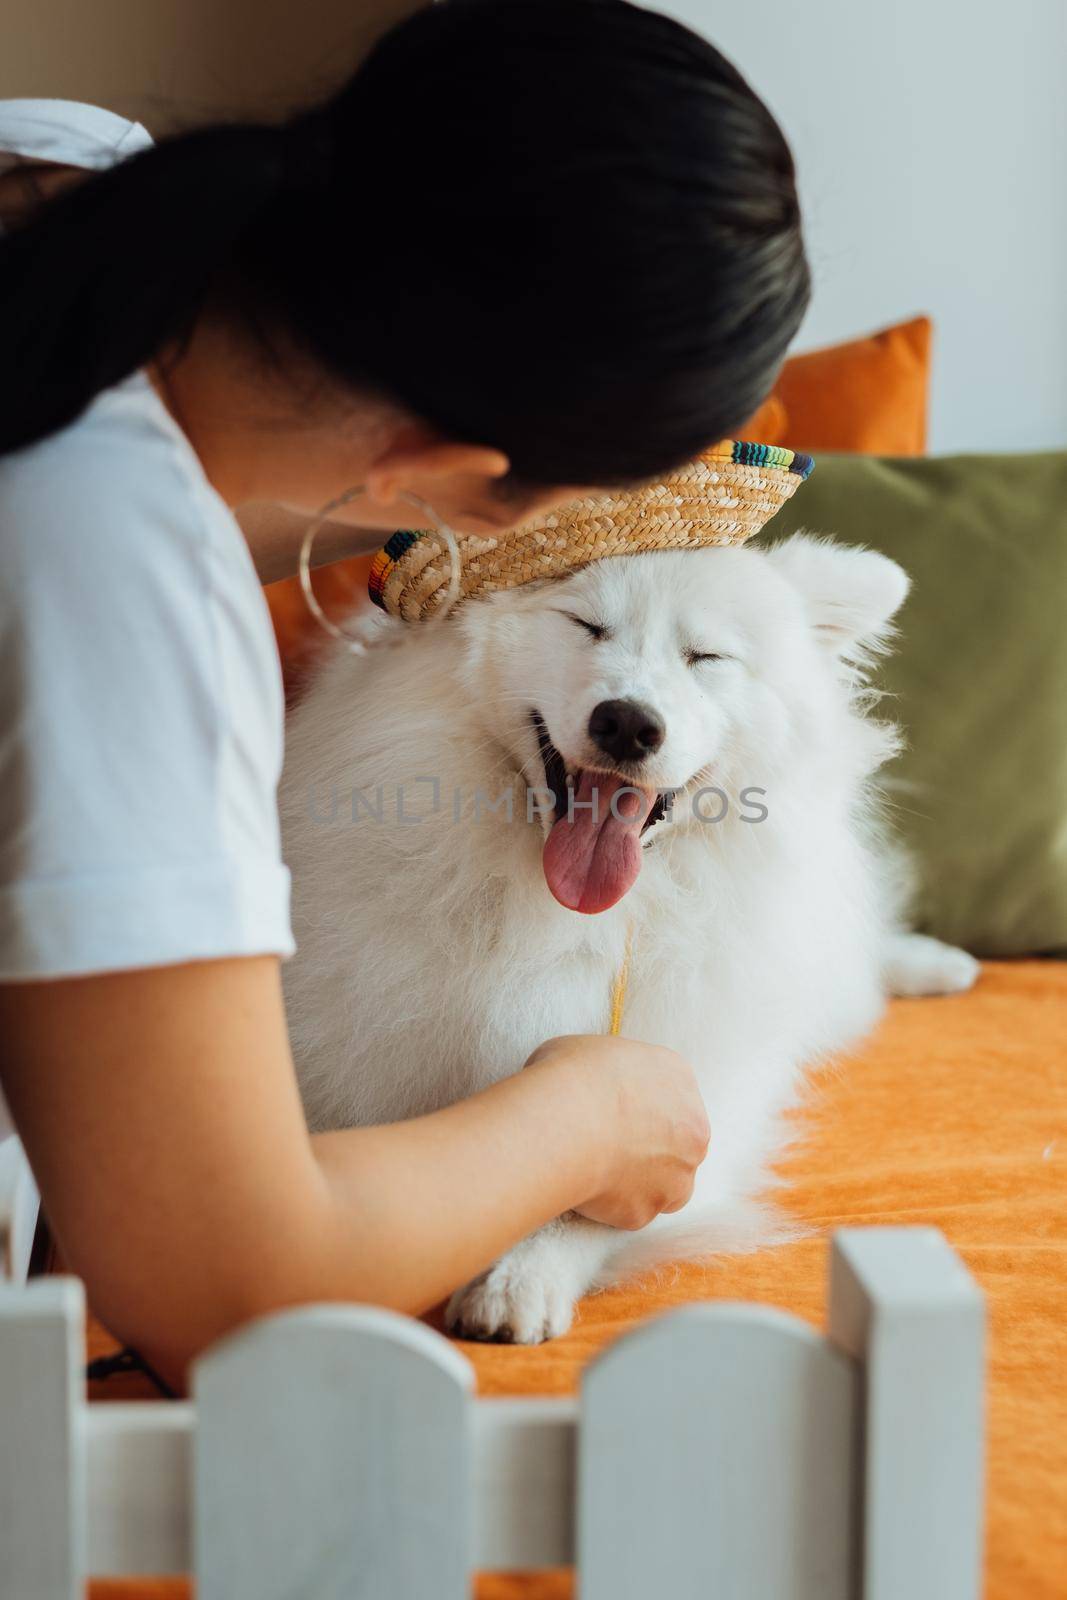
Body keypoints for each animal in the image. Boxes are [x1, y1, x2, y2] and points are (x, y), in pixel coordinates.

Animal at [281, 534, 979, 1337]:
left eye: (706, 656)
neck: (579, 920)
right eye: (586, 625)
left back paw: (935, 964)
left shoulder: (707, 1102)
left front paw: (521, 1276)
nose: (626, 722)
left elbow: (596, 1200)